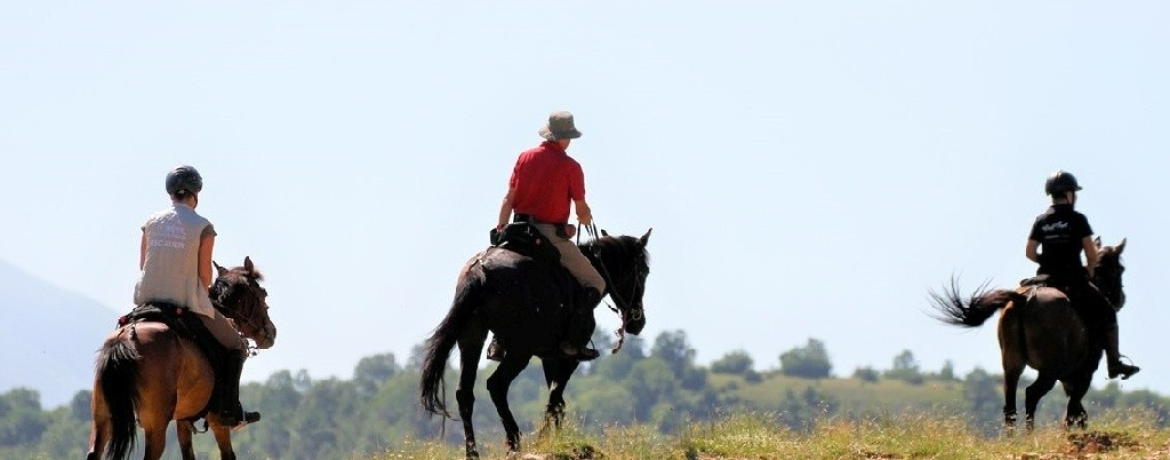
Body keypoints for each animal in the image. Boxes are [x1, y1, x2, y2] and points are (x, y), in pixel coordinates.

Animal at [85, 256, 276, 458]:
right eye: (263, 294)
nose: (272, 332)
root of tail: (129, 335)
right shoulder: (217, 421)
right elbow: (227, 454)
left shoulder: (183, 418)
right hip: (156, 425)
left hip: (103, 420)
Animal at [926, 238, 1127, 433]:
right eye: (1119, 268)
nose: (1120, 298)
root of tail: (1024, 299)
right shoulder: (1084, 373)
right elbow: (1074, 410)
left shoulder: (1068, 378)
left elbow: (1079, 412)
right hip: (1050, 371)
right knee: (1032, 395)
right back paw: (1030, 435)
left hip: (1013, 365)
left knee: (1010, 406)